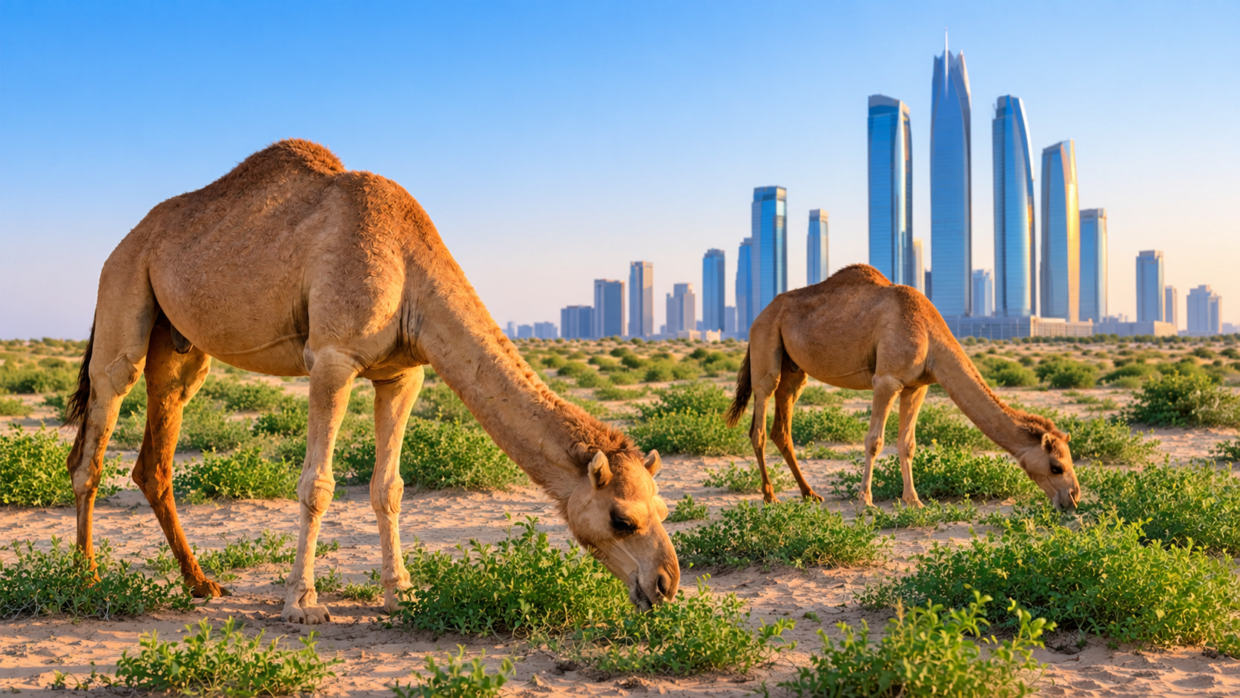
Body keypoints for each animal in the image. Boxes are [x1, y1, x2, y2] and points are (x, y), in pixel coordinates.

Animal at [65, 139, 679, 624]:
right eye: (622, 519)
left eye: (666, 510)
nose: (667, 584)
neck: (409, 272)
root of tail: (126, 241)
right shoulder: (332, 358)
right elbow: (317, 484)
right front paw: (302, 603)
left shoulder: (402, 374)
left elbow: (390, 487)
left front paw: (399, 593)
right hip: (123, 290)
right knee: (96, 430)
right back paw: (86, 577)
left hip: (181, 347)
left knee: (156, 456)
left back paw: (201, 583)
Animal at [725, 264, 1081, 511]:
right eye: (1057, 465)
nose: (1073, 498)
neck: (931, 337)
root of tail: (757, 317)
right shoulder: (887, 379)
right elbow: (874, 441)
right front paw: (865, 500)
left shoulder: (916, 386)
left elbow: (907, 443)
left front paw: (914, 500)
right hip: (766, 347)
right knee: (759, 420)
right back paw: (770, 495)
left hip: (795, 370)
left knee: (782, 427)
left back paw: (810, 493)